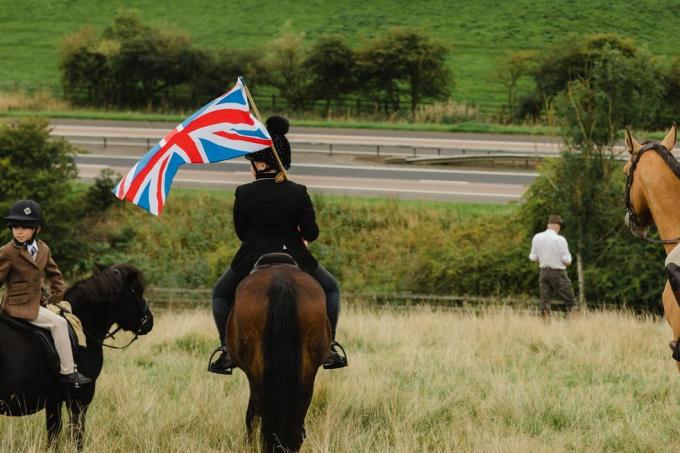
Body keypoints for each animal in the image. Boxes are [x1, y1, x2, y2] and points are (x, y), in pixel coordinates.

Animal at [0, 264, 154, 446]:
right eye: (137, 290)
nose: (149, 322)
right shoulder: (81, 400)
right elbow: (77, 437)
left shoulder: (53, 400)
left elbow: (53, 435)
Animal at [228, 254, 332, 452]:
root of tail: (281, 284)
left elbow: (251, 414)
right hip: (307, 371)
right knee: (298, 415)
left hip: (257, 372)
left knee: (261, 413)